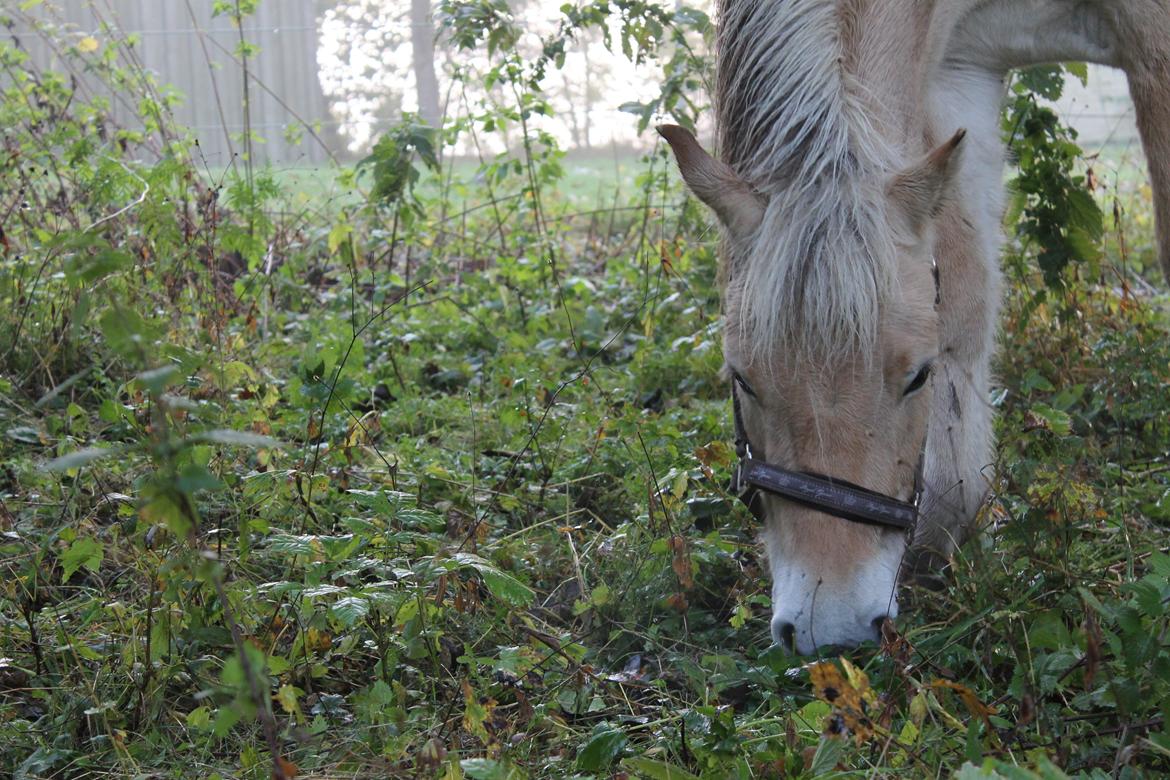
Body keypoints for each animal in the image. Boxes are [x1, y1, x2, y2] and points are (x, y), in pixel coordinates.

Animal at [664, 0, 1165, 654]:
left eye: (918, 377)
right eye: (742, 380)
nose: (832, 628)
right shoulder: (959, 73)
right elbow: (963, 291)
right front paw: (944, 535)